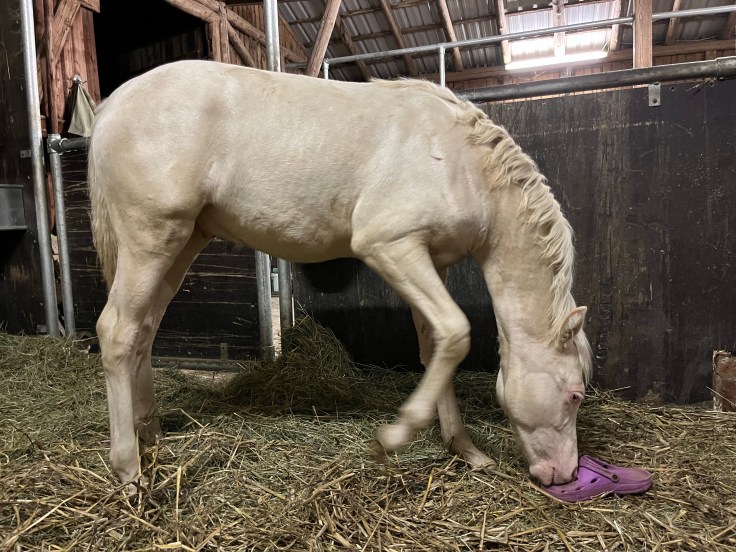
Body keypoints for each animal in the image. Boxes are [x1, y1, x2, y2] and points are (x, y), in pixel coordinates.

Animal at [87, 59, 593, 489]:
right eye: (574, 396)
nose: (564, 474)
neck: (459, 161)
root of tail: (111, 106)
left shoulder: (433, 261)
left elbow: (438, 347)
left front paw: (465, 449)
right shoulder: (391, 246)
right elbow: (457, 331)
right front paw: (394, 436)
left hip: (181, 244)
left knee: (144, 329)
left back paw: (150, 434)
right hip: (151, 238)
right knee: (117, 331)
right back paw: (128, 469)